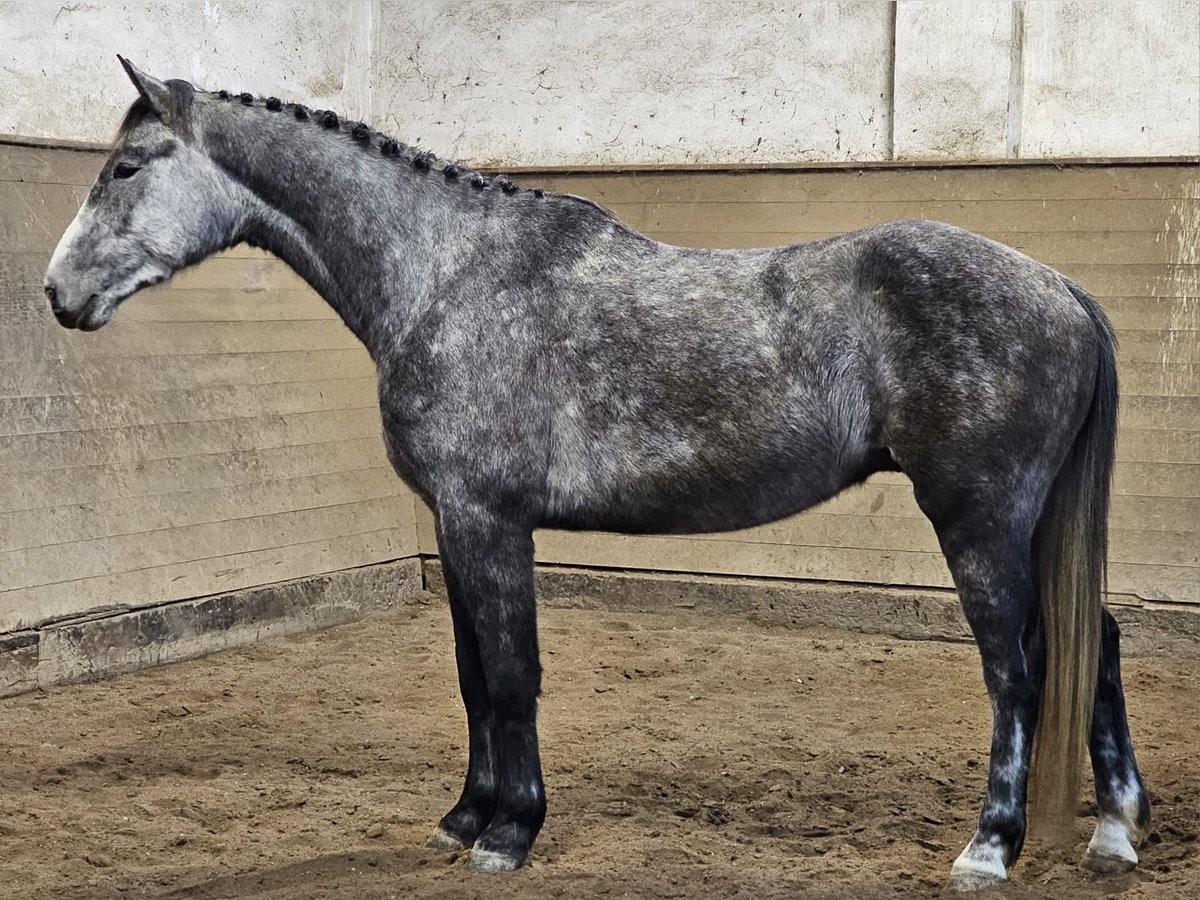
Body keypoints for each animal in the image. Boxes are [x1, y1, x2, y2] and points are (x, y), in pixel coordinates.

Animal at [42, 60, 1147, 892]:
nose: (57, 294)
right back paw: (1115, 829)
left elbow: (511, 675)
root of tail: (1060, 289)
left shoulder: (488, 520)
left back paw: (990, 846)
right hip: (1025, 524)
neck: (447, 277)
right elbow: (472, 676)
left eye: (128, 167)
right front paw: (463, 817)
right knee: (1093, 642)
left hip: (978, 520)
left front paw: (509, 833)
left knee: (1019, 666)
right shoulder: (455, 525)